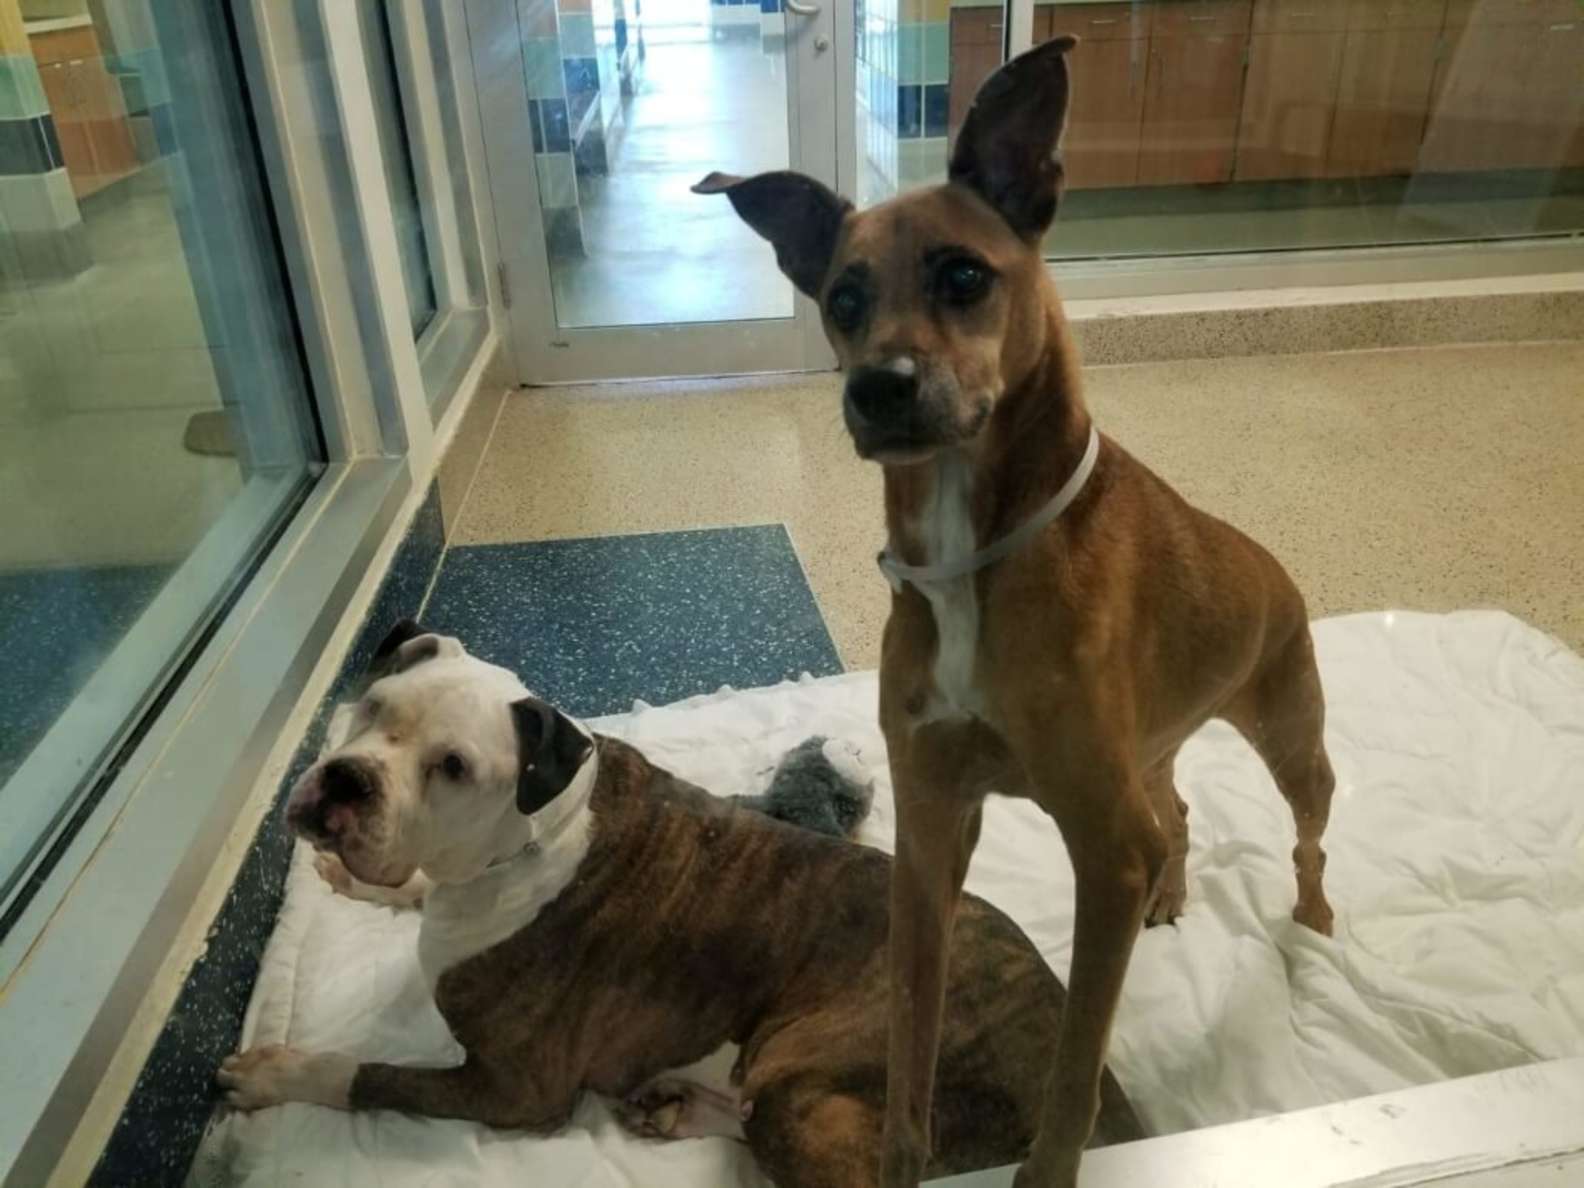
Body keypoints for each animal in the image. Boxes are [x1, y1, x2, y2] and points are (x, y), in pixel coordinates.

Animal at [220, 624, 1140, 1188]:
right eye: (372, 708)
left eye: (452, 767)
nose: (346, 780)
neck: (536, 830)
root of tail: (1105, 1111)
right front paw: (365, 882)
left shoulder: (516, 1089)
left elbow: (371, 1075)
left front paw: (279, 1072)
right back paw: (678, 1106)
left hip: (813, 1081)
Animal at [700, 32, 1330, 1184]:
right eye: (843, 298)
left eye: (963, 275)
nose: (878, 388)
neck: (970, 559)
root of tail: (1265, 559)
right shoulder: (931, 827)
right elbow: (909, 1043)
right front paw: (902, 1153)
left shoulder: (1102, 855)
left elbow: (1074, 1077)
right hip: (1151, 752)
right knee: (1177, 813)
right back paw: (1178, 889)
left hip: (1289, 731)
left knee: (1306, 828)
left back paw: (1315, 913)